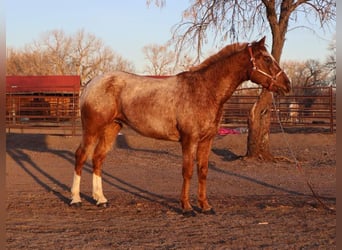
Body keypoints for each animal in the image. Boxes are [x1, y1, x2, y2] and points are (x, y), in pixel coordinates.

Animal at [70, 36, 292, 216]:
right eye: (267, 59)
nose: (287, 84)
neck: (204, 90)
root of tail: (92, 83)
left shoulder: (206, 140)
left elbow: (203, 171)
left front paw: (205, 206)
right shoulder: (189, 140)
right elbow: (188, 171)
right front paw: (187, 208)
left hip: (111, 128)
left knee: (98, 159)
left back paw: (101, 200)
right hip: (92, 129)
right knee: (81, 156)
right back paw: (76, 199)